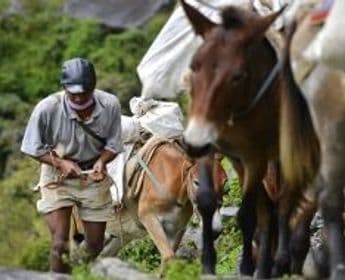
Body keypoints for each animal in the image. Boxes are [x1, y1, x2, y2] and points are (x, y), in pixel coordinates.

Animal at [180, 1, 318, 278]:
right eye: (194, 66)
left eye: (237, 76)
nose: (193, 143)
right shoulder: (211, 147)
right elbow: (207, 200)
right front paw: (208, 264)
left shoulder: (256, 159)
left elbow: (248, 214)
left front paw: (246, 267)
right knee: (271, 208)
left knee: (283, 205)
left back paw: (279, 262)